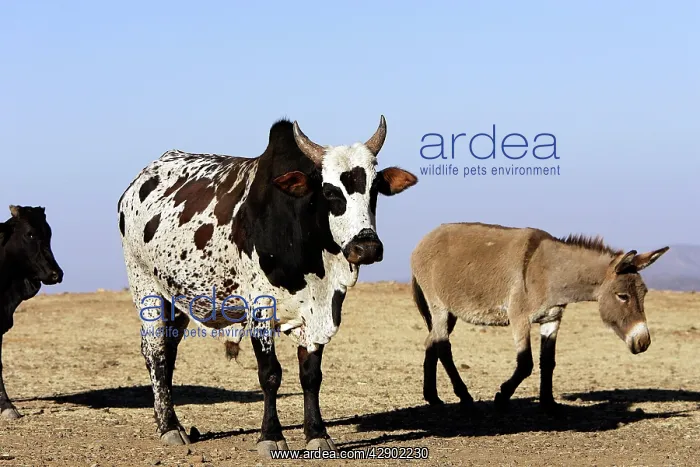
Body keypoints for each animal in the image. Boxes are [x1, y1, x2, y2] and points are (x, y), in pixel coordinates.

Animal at [117, 116, 417, 456]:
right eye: (329, 192)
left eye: (375, 189)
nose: (366, 248)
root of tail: (137, 183)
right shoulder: (260, 310)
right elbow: (270, 374)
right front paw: (271, 435)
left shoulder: (319, 312)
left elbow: (311, 375)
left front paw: (317, 433)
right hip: (146, 287)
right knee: (155, 351)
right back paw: (169, 427)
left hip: (177, 298)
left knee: (169, 350)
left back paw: (171, 423)